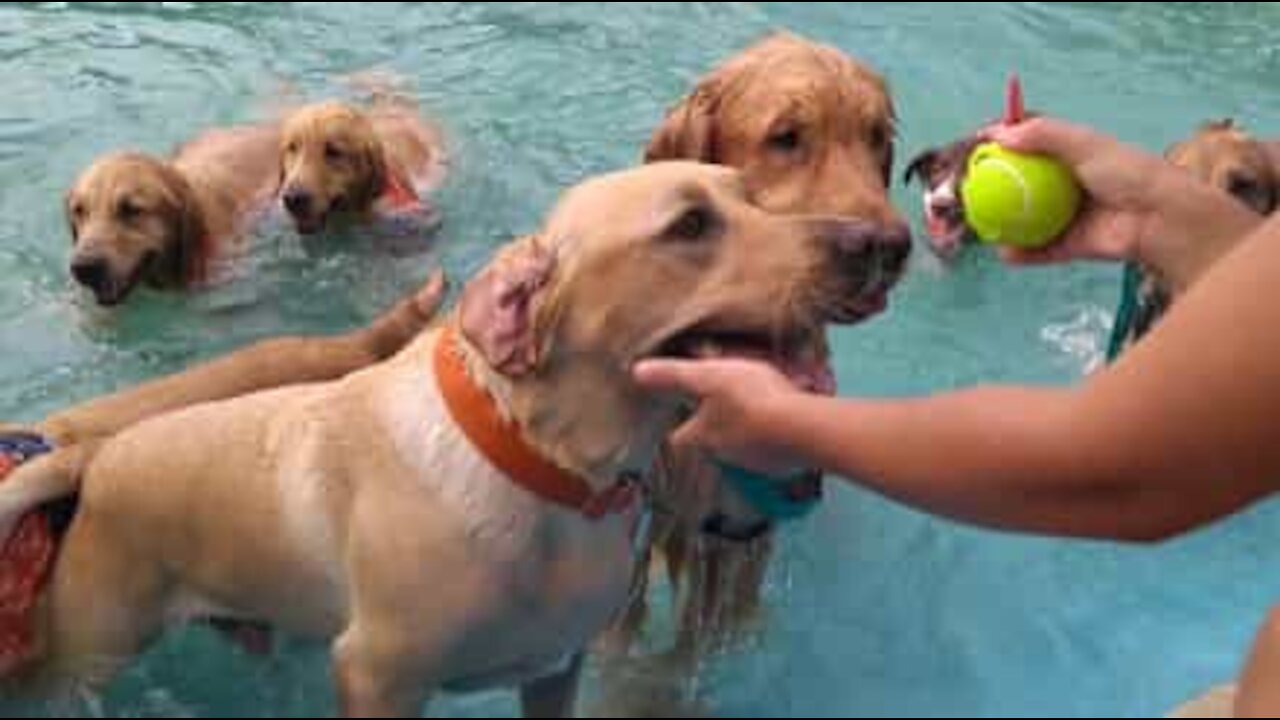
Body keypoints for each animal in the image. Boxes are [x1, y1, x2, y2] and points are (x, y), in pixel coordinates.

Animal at [0, 162, 911, 712]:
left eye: (751, 194)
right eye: (689, 225)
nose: (875, 245)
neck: (554, 473)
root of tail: (91, 458)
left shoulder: (560, 668)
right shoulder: (376, 678)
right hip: (90, 653)